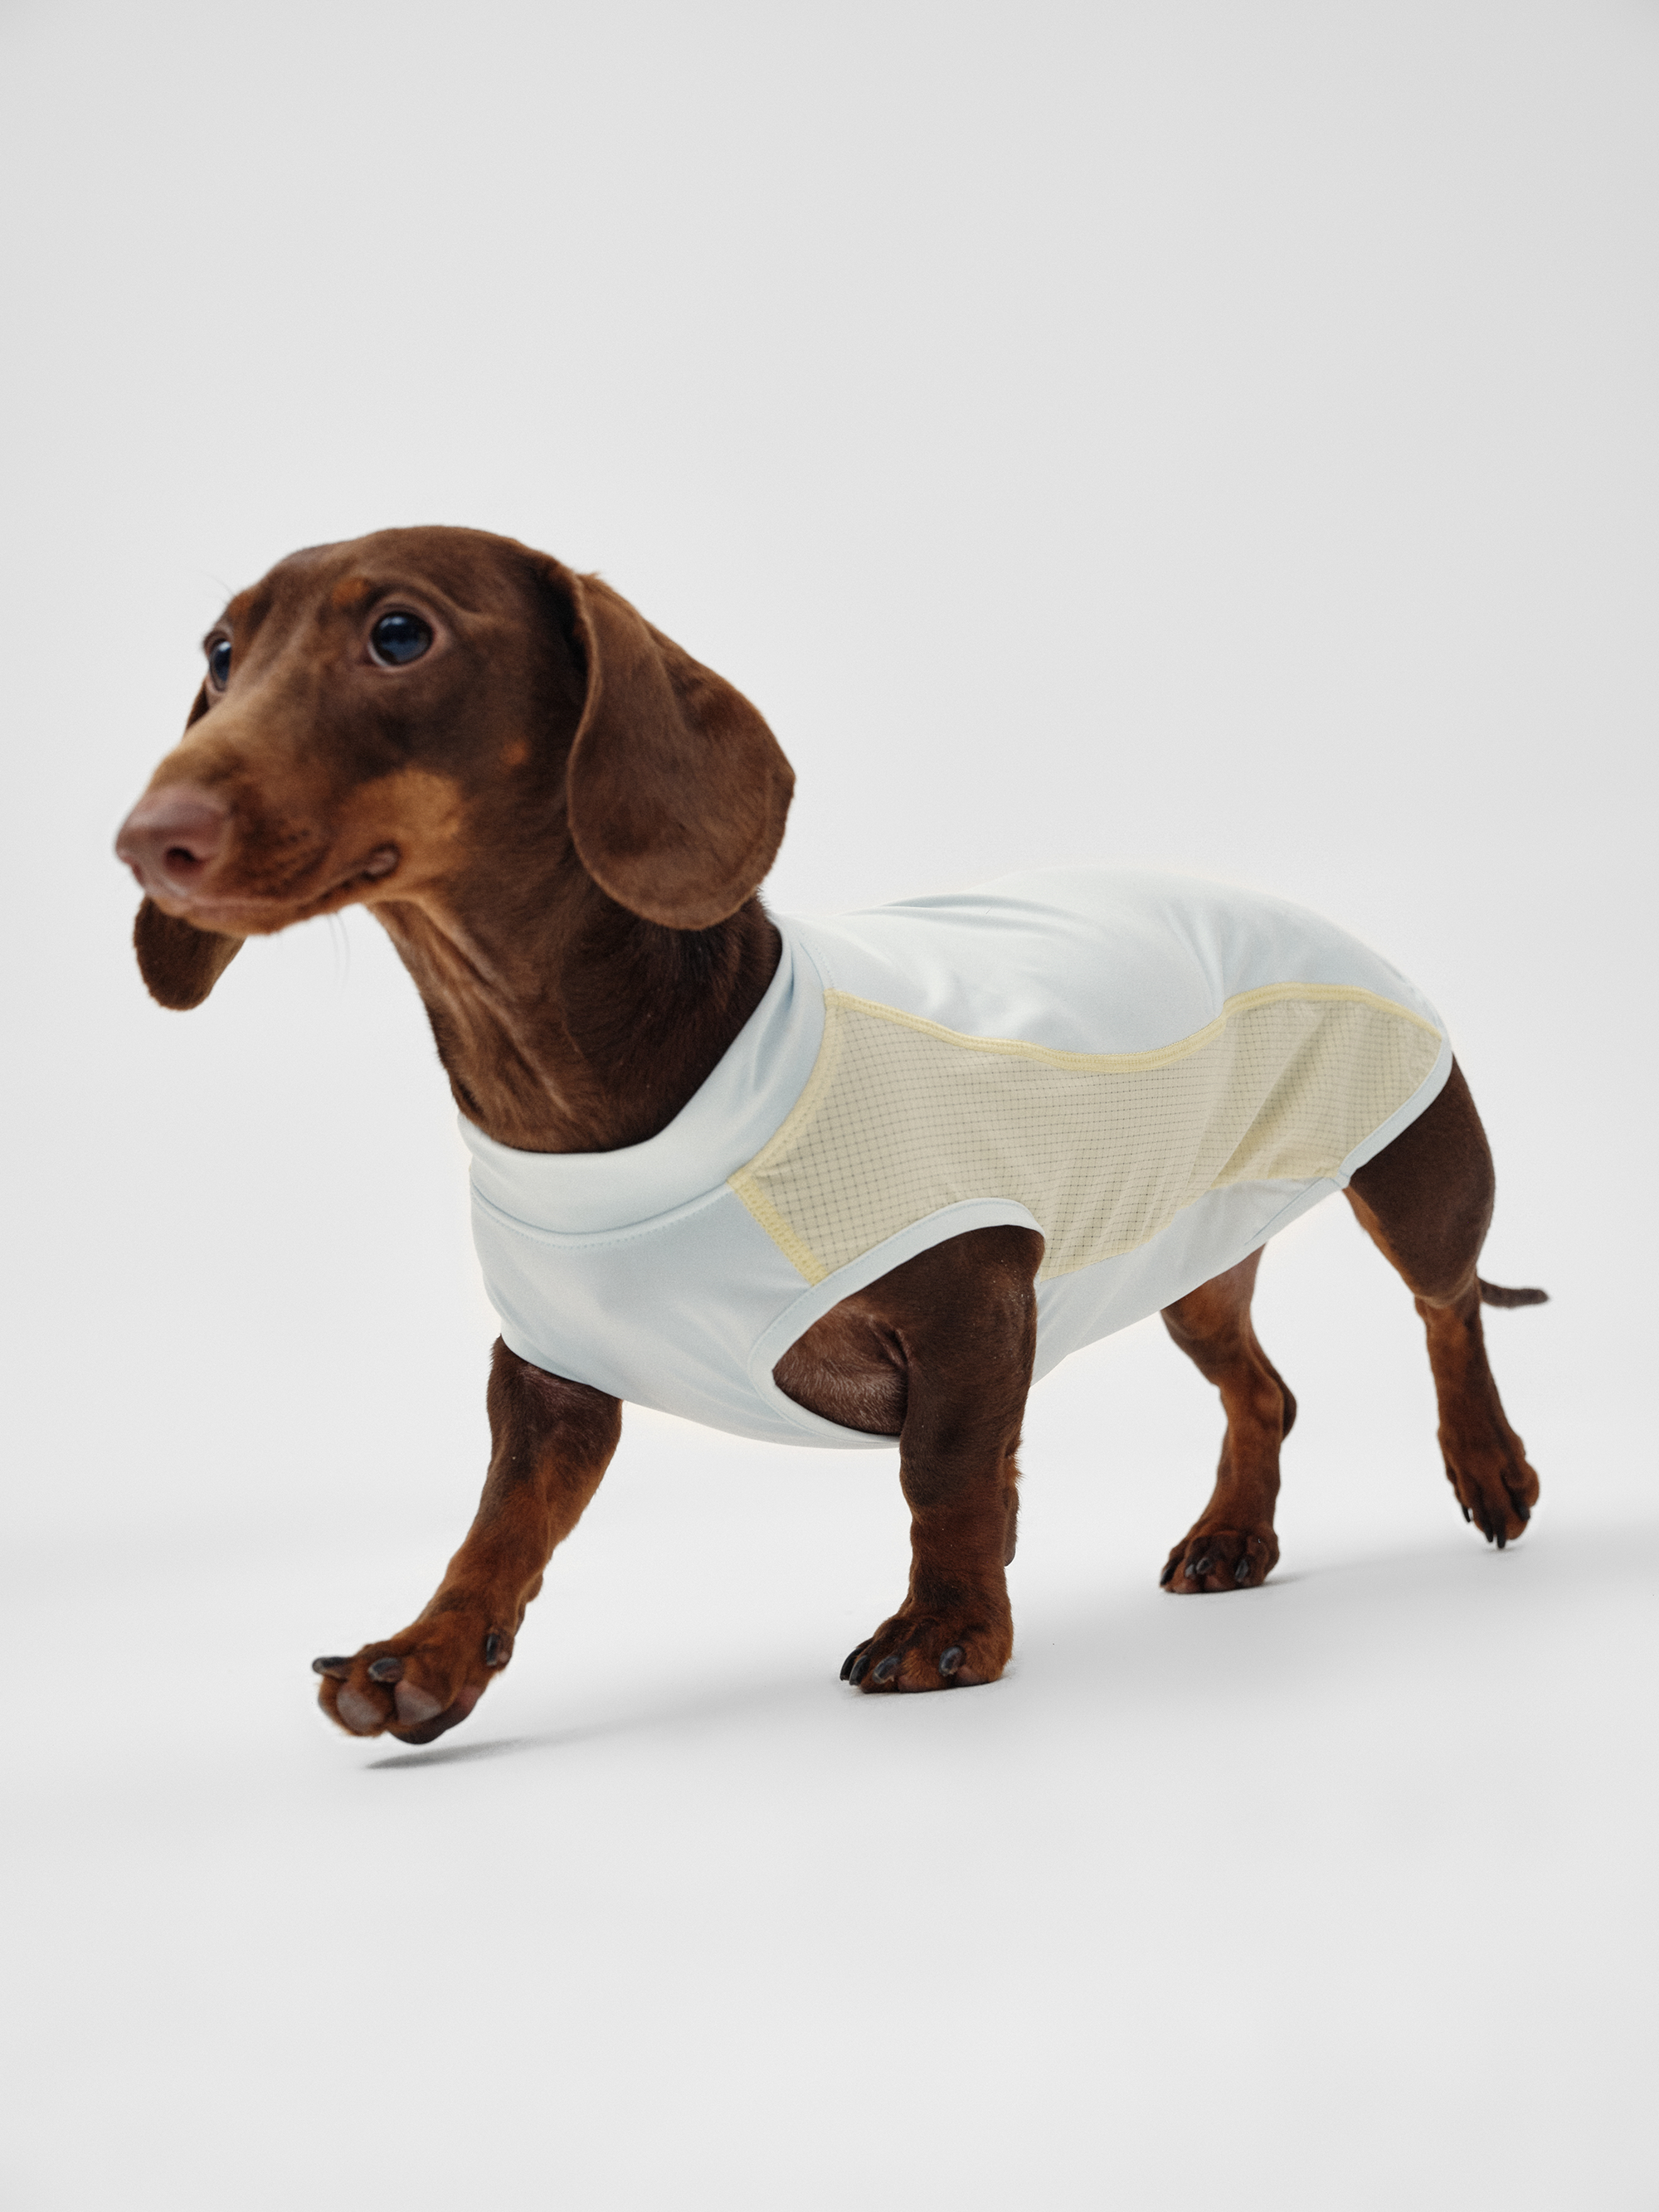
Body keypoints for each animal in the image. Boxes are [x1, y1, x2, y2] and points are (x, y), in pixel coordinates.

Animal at [116, 526, 1545, 1745]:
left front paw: (948, 1626)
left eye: (401, 633)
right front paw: (427, 1654)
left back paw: (1490, 1467)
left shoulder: (977, 1298)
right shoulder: (550, 1379)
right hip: (1192, 1252)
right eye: (222, 651)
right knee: (1266, 1388)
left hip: (1413, 1165)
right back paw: (1233, 1535)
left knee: (1447, 1304)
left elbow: (949, 1476)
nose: (145, 841)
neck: (577, 1101)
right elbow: (500, 1528)